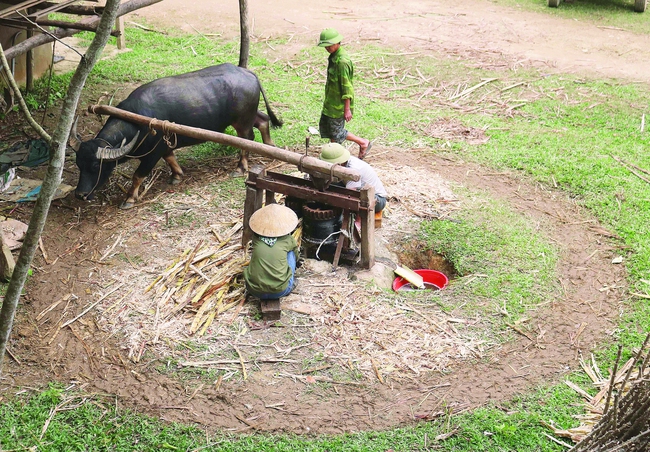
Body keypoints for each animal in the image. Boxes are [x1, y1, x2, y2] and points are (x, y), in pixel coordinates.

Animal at [71, 62, 280, 209]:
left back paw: (240, 168)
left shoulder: (152, 154)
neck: (137, 121)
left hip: (242, 121)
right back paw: (269, 145)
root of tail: (248, 73)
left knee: (247, 139)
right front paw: (177, 176)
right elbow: (170, 158)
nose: (80, 194)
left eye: (96, 166)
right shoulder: (164, 146)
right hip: (247, 116)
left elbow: (138, 175)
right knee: (263, 120)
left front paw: (129, 198)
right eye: (79, 164)